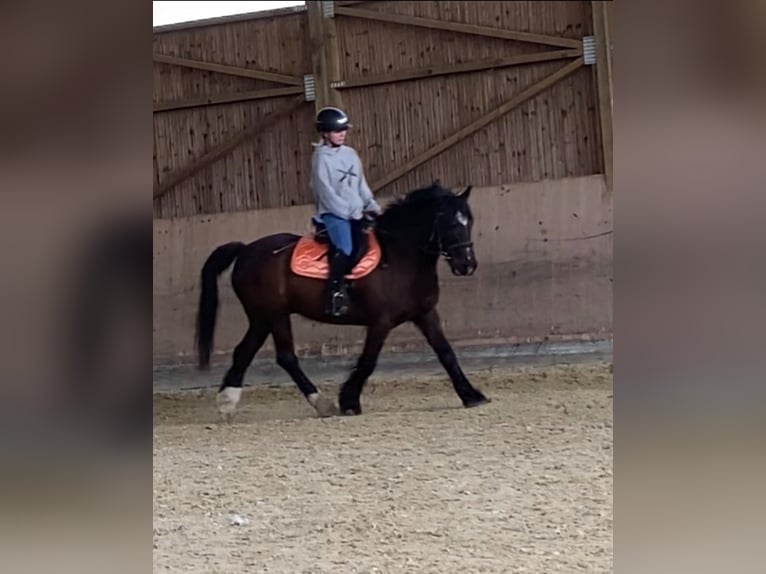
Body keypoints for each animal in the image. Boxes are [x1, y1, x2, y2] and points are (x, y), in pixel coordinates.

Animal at [195, 182, 488, 420]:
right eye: (450, 224)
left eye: (469, 221)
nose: (467, 265)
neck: (400, 256)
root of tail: (246, 250)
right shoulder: (381, 322)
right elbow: (368, 361)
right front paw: (349, 401)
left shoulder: (426, 314)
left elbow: (446, 353)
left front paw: (471, 395)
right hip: (274, 314)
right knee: (286, 357)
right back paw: (321, 403)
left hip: (262, 317)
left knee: (244, 351)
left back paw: (227, 402)